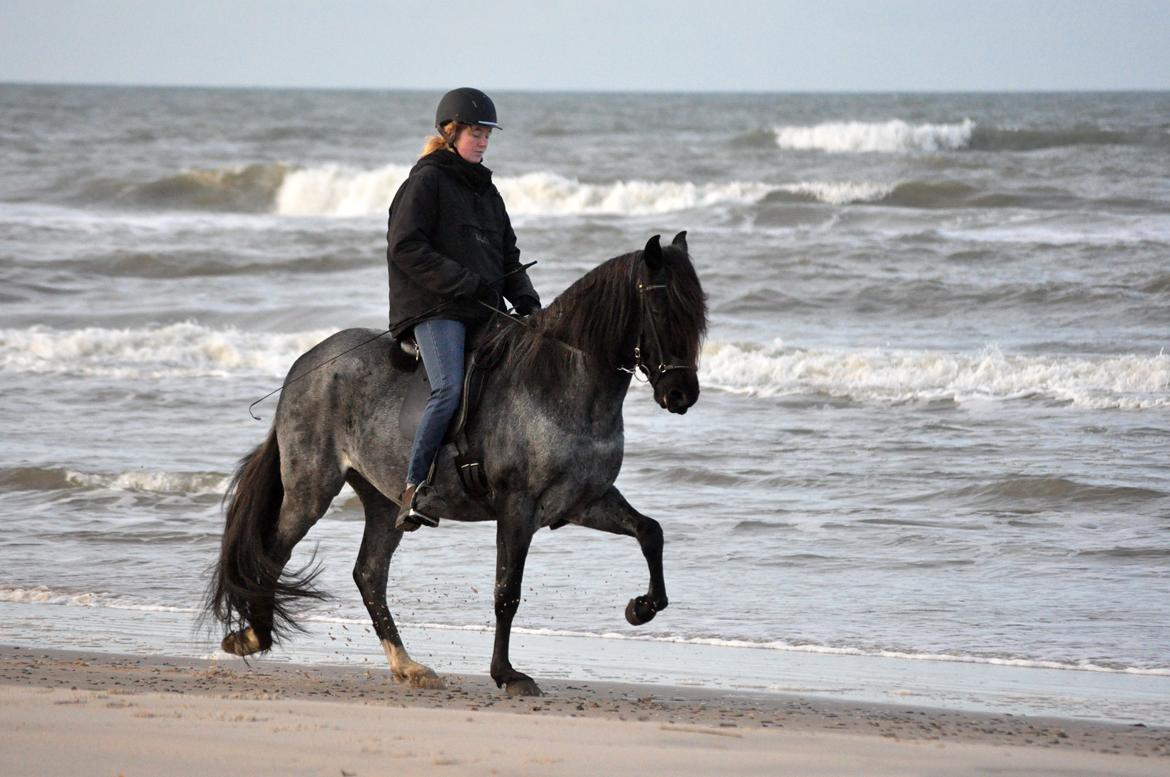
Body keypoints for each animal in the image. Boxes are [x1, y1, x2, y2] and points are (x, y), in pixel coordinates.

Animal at [205, 231, 706, 697]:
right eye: (662, 309)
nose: (681, 394)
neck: (563, 382)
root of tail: (304, 365)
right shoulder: (517, 506)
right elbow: (507, 592)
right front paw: (507, 674)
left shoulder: (584, 501)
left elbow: (650, 532)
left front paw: (642, 607)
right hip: (311, 489)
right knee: (272, 554)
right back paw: (253, 637)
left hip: (384, 500)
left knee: (369, 574)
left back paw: (406, 666)